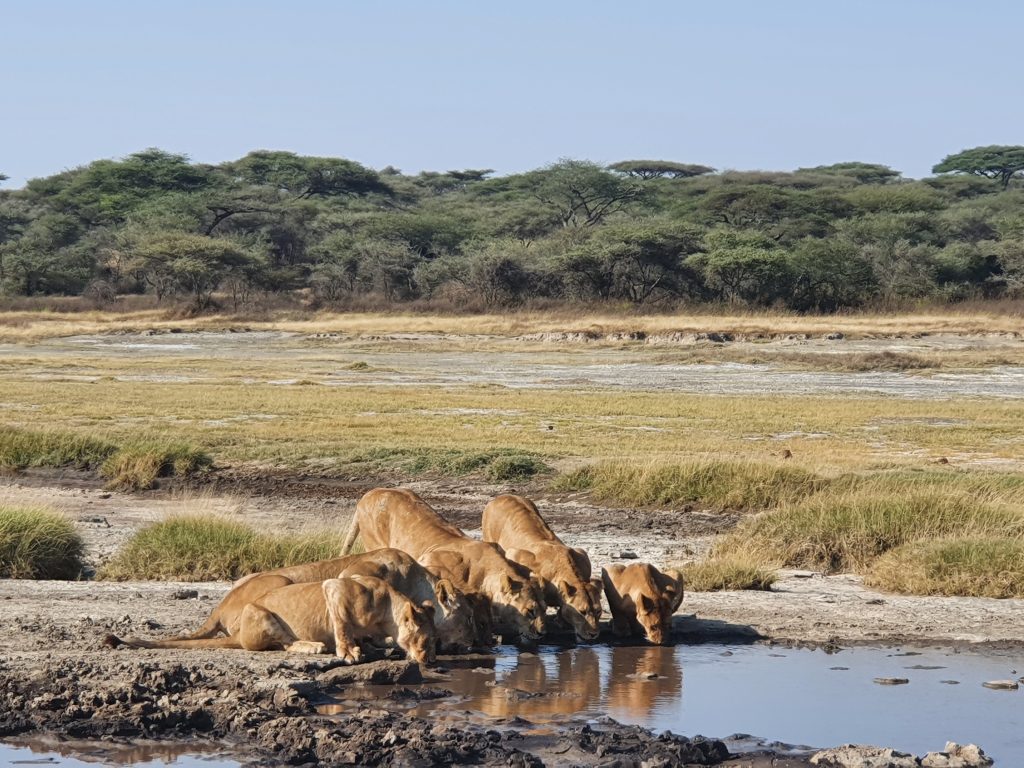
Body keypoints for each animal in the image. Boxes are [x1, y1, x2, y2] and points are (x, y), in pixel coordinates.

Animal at [103, 577, 436, 667]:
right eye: (426, 640)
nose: (430, 661)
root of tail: (237, 634)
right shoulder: (335, 588)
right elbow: (343, 626)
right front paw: (350, 652)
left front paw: (375, 647)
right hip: (259, 612)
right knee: (285, 644)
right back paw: (315, 647)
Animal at [344, 487, 548, 643]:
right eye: (530, 611)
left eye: (545, 609)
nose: (542, 634)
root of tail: (368, 494)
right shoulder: (428, 562)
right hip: (374, 544)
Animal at [483, 495, 602, 638]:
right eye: (582, 612)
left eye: (598, 611)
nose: (594, 634)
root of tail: (501, 496)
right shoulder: (515, 554)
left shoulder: (582, 553)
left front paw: (561, 619)